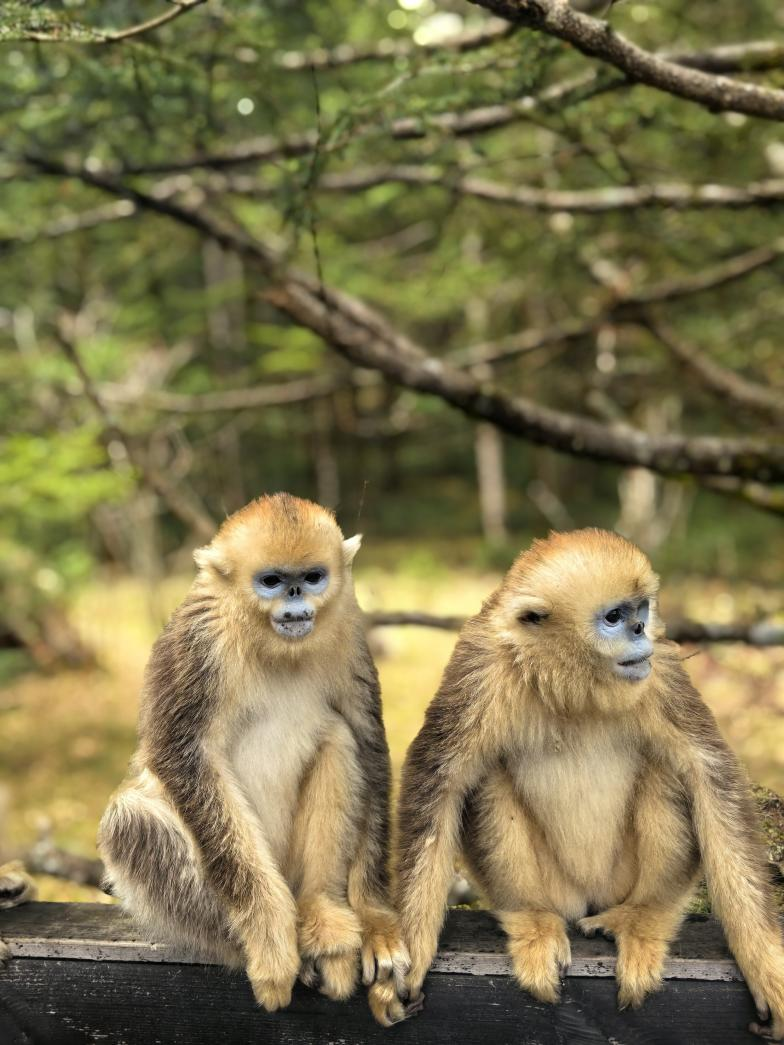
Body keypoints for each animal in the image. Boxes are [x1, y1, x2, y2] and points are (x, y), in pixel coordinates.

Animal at [98, 493, 409, 1026]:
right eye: (271, 581)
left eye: (312, 577)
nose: (294, 597)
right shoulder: (197, 638)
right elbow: (182, 757)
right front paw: (270, 939)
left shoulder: (350, 631)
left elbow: (368, 744)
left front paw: (375, 919)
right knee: (130, 820)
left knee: (339, 739)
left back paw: (322, 917)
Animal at [395, 528, 784, 1039]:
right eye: (614, 618)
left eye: (641, 611)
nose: (639, 631)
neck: (573, 684)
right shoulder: (480, 665)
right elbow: (437, 778)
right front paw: (406, 956)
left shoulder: (660, 668)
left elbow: (710, 774)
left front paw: (763, 960)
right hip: (557, 887)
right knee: (489, 777)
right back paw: (531, 916)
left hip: (619, 879)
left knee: (667, 770)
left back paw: (644, 914)